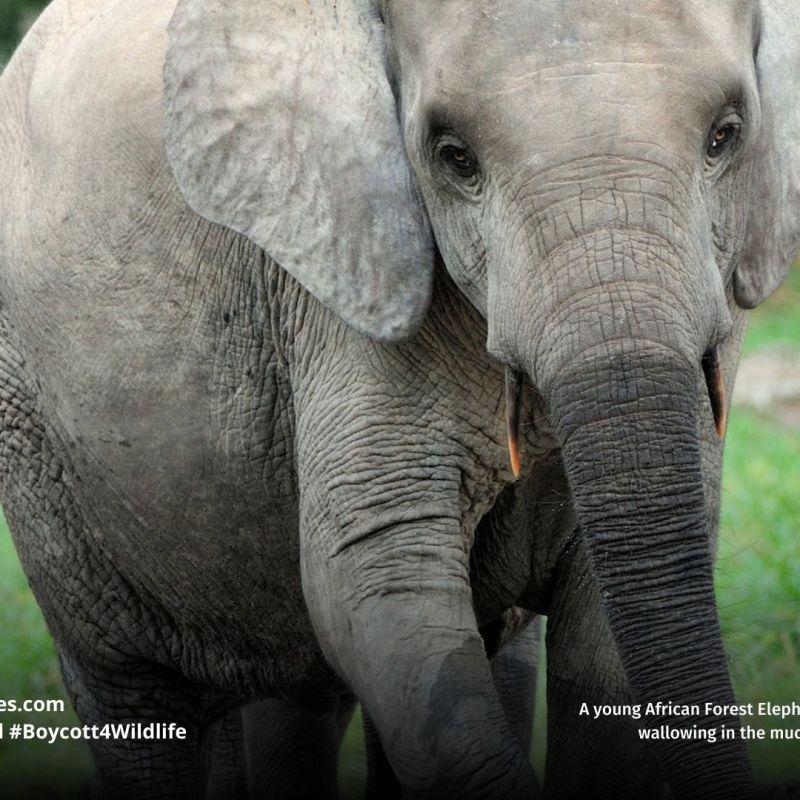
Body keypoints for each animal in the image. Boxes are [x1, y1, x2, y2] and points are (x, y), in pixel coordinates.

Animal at [0, 0, 799, 797]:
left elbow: (608, 640)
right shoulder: (341, 288)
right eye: (454, 157)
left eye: (725, 135)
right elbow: (378, 586)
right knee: (138, 699)